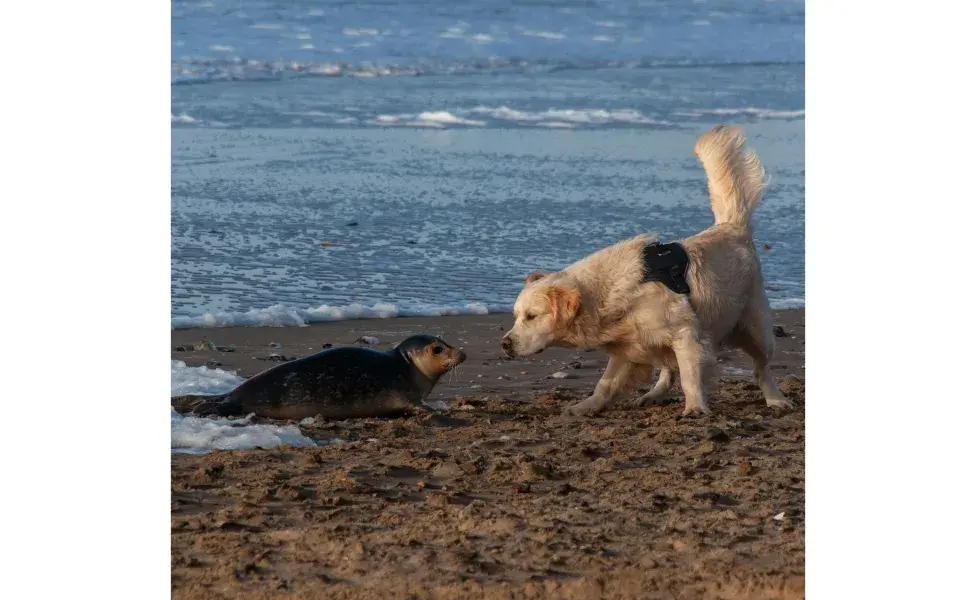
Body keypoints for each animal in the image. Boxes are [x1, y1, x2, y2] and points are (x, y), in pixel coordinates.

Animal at [504, 125, 792, 418]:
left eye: (531, 316)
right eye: (516, 316)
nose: (505, 343)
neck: (609, 294)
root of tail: (732, 227)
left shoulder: (686, 333)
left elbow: (690, 376)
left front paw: (694, 408)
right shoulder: (629, 346)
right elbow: (605, 384)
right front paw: (584, 407)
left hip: (755, 327)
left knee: (761, 367)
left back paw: (775, 399)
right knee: (668, 369)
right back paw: (654, 394)